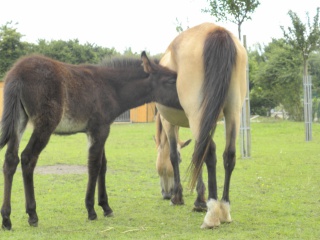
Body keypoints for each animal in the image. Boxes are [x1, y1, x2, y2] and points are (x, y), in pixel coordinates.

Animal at [0, 51, 180, 230]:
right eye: (171, 81)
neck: (111, 87)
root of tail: (17, 72)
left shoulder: (100, 130)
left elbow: (103, 165)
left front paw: (106, 207)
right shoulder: (99, 130)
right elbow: (94, 165)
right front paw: (91, 210)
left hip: (19, 120)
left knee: (11, 160)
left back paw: (7, 219)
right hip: (45, 124)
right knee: (28, 158)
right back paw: (32, 214)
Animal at [155, 21, 248, 228]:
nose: (165, 194)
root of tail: (216, 32)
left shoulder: (169, 123)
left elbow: (174, 155)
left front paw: (179, 197)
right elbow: (197, 155)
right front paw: (199, 199)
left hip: (197, 114)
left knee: (211, 154)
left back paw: (213, 213)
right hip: (233, 111)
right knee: (228, 155)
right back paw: (224, 209)